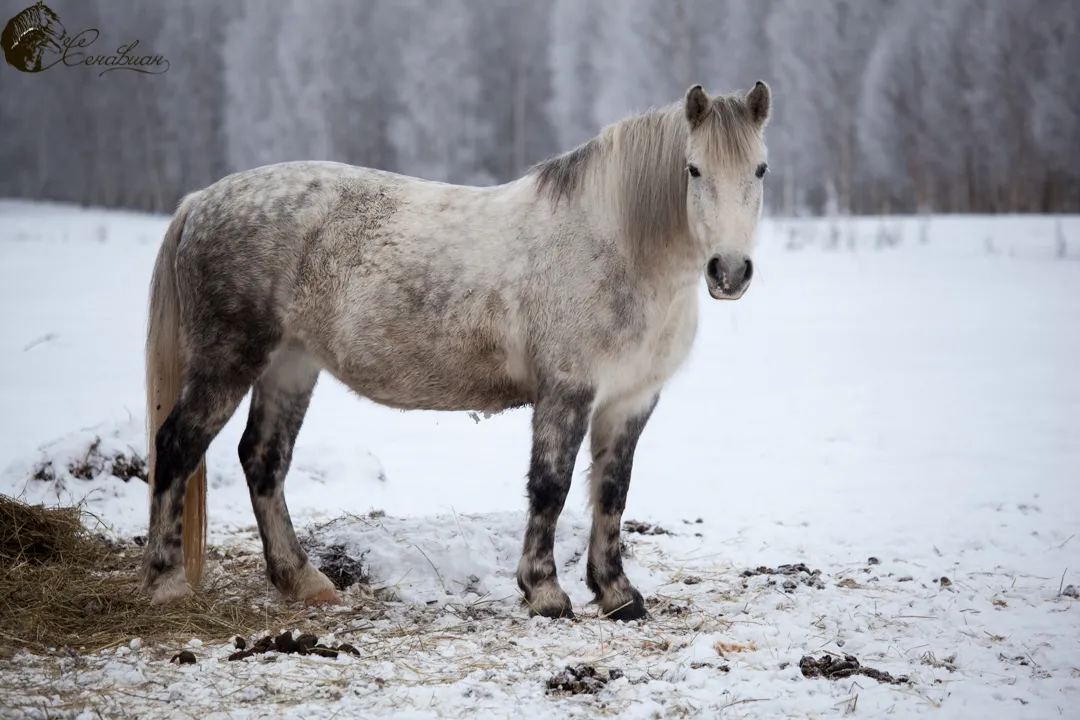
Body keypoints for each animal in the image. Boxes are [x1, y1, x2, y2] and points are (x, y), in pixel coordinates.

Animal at [140, 81, 772, 621]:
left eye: (760, 168)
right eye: (693, 169)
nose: (730, 272)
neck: (616, 246)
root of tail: (200, 200)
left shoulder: (631, 400)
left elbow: (612, 492)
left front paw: (618, 595)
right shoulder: (567, 391)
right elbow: (552, 486)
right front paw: (545, 592)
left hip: (290, 365)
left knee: (263, 460)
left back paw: (304, 582)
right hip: (228, 361)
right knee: (177, 446)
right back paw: (166, 584)